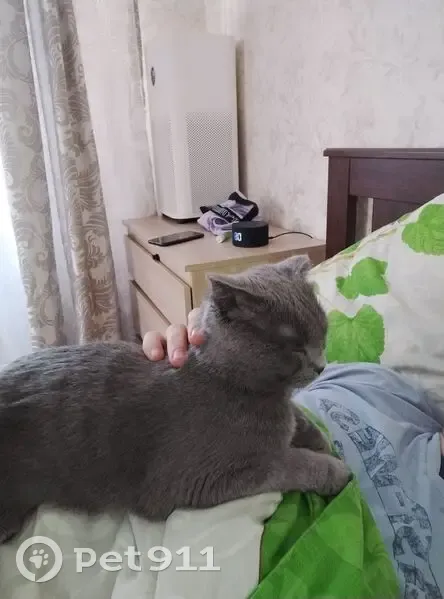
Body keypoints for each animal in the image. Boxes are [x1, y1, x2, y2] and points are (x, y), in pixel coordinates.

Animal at [0, 255, 349, 543]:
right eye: (294, 346)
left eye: (323, 331)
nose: (322, 365)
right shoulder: (204, 477)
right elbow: (286, 462)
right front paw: (334, 470)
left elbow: (300, 418)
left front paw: (320, 441)